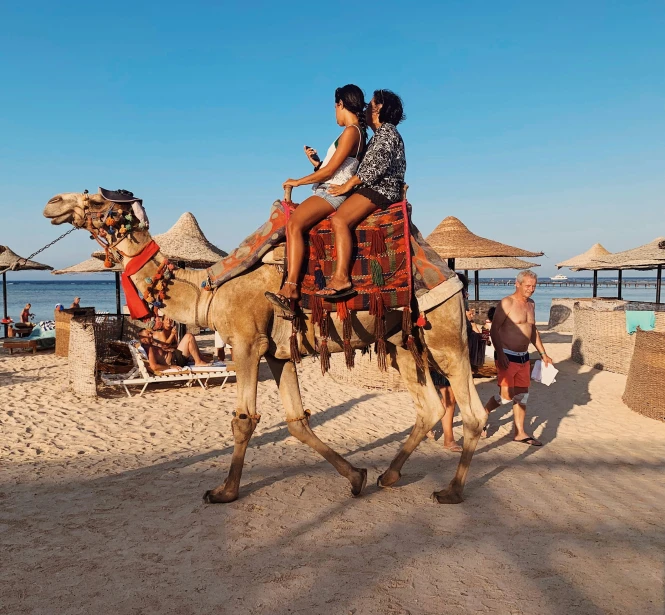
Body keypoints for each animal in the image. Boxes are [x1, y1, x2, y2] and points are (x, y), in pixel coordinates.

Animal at [42, 190, 488, 502]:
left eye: (96, 199)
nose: (52, 202)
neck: (206, 290)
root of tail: (447, 270)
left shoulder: (246, 343)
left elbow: (244, 419)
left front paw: (224, 491)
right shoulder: (278, 353)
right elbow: (296, 421)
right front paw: (356, 477)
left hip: (444, 330)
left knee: (473, 411)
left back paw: (451, 491)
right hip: (401, 343)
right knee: (429, 406)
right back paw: (389, 475)